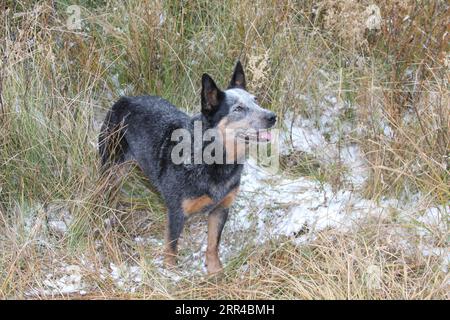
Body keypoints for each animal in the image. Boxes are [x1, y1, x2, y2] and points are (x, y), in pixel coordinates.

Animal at [99, 61, 276, 274]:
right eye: (239, 108)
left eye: (256, 101)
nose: (272, 116)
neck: (214, 160)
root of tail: (124, 99)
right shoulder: (176, 211)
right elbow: (172, 247)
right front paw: (171, 274)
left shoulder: (221, 209)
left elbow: (213, 244)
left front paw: (215, 271)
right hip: (111, 169)